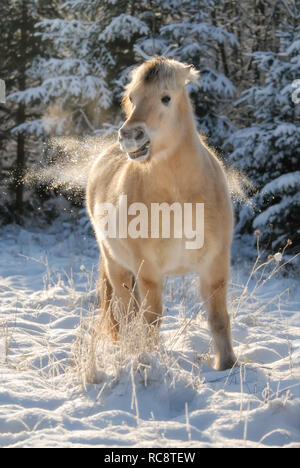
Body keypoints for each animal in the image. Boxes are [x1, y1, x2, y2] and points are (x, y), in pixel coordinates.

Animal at [86, 55, 237, 370]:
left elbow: (218, 317)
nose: (130, 136)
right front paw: (148, 357)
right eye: (132, 97)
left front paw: (227, 365)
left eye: (165, 98)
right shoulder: (149, 271)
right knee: (126, 312)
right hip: (117, 265)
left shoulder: (216, 265)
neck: (179, 199)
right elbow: (151, 320)